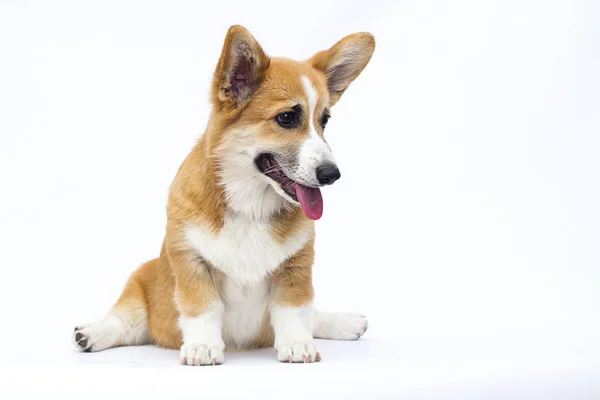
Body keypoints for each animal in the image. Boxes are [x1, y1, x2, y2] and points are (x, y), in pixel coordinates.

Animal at [74, 25, 376, 366]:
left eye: (324, 120)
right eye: (286, 118)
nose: (331, 175)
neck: (250, 204)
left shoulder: (297, 266)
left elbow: (294, 310)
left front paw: (298, 345)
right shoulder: (191, 261)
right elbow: (204, 309)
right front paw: (203, 347)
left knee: (313, 315)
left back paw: (345, 323)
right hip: (141, 285)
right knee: (126, 322)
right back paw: (91, 334)